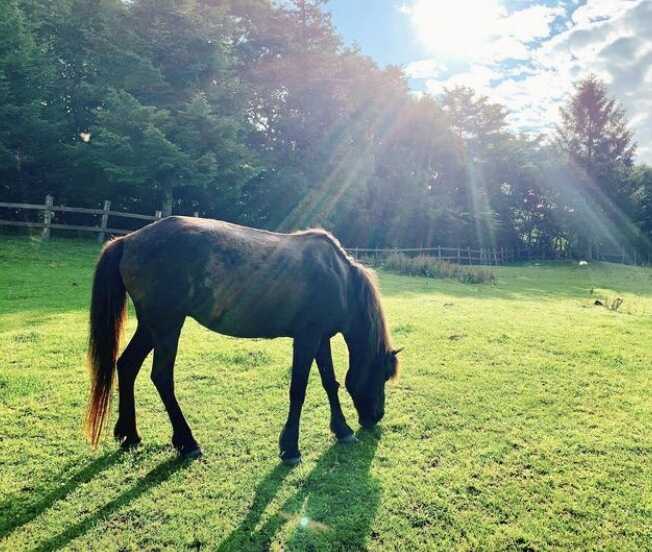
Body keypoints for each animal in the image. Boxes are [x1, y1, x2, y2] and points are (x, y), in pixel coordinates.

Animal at [85, 216, 400, 464]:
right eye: (382, 375)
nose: (376, 416)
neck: (340, 280)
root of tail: (128, 240)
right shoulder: (306, 339)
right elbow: (298, 390)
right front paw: (290, 448)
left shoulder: (321, 339)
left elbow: (329, 383)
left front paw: (342, 430)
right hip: (167, 325)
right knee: (161, 377)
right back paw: (187, 443)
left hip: (150, 326)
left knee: (127, 366)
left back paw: (129, 434)